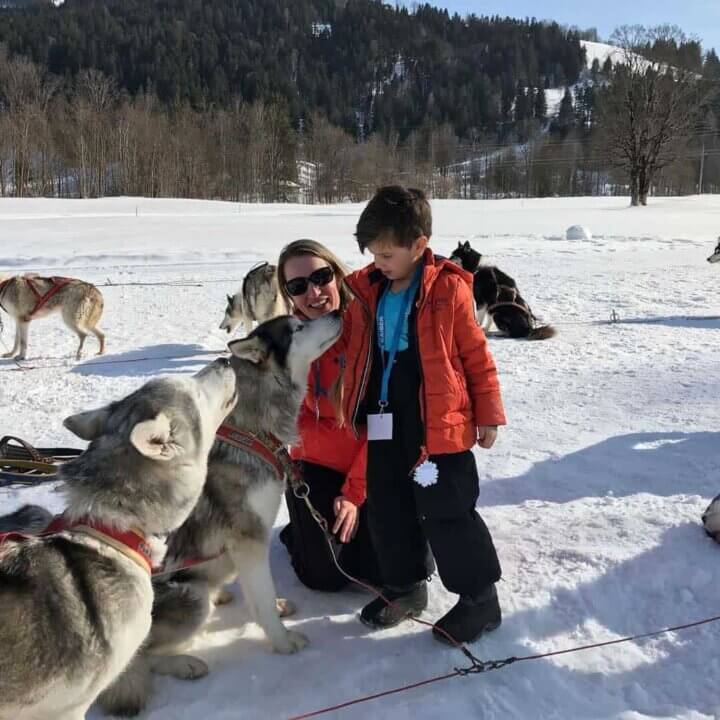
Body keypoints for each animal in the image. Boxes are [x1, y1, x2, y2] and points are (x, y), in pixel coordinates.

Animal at [99, 312, 344, 716]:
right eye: (296, 328)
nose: (339, 312)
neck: (252, 428)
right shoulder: (249, 538)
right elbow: (262, 596)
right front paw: (282, 641)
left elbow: (261, 593)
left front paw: (275, 606)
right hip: (190, 601)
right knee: (143, 660)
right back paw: (185, 663)